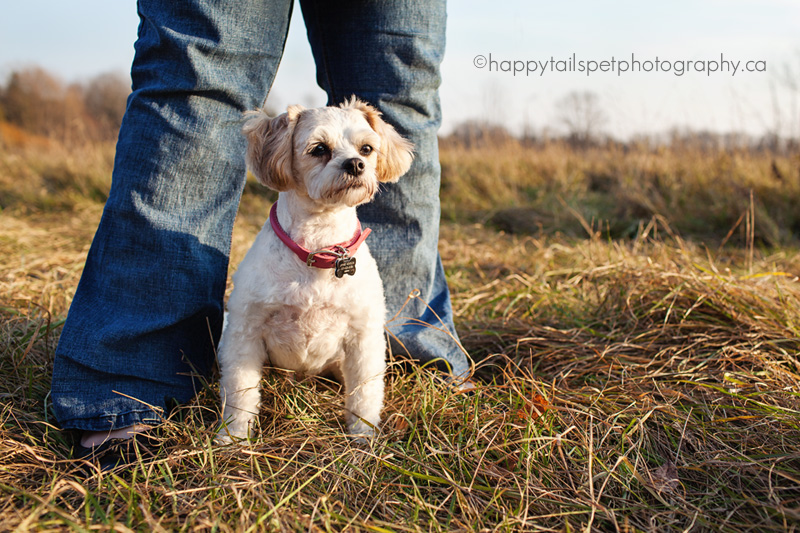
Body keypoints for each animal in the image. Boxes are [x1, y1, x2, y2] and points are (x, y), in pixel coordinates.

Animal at [216, 97, 416, 442]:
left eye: (366, 149)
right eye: (319, 149)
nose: (355, 164)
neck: (319, 250)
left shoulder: (364, 339)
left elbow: (365, 394)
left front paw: (363, 438)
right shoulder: (244, 335)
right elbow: (241, 394)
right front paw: (233, 437)